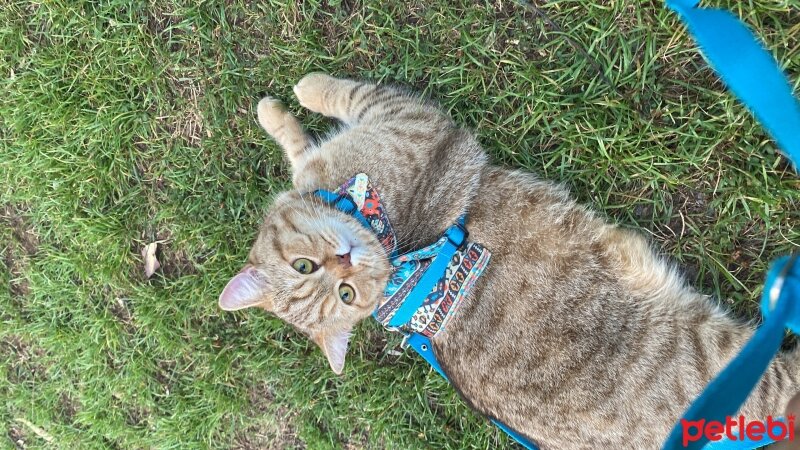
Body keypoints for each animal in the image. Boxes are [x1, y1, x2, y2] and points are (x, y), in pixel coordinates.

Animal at [216, 74, 796, 450]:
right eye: (343, 292)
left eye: (314, 274)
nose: (345, 262)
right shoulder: (409, 124)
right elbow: (324, 117)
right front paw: (293, 103)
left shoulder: (396, 129)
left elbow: (315, 122)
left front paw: (288, 102)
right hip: (738, 352)